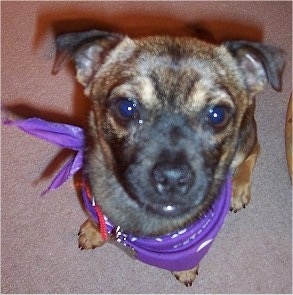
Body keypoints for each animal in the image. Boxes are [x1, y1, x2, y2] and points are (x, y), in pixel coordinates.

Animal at [51, 28, 284, 286]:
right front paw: (94, 231)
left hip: (244, 141)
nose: (172, 178)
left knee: (255, 149)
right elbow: (97, 218)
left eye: (218, 114)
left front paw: (186, 269)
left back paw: (239, 188)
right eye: (125, 107)